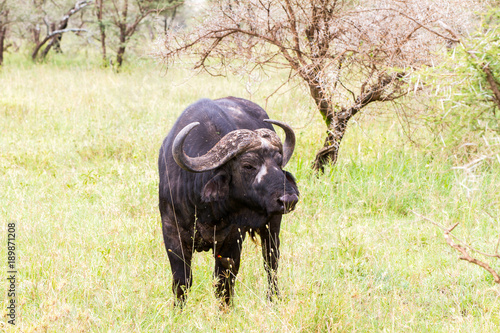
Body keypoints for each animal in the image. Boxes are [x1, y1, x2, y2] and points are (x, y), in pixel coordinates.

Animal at [158, 95, 298, 304]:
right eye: (248, 165)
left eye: (279, 162)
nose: (289, 198)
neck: (204, 208)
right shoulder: (171, 232)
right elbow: (181, 281)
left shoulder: (233, 237)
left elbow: (224, 283)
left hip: (272, 224)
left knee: (271, 261)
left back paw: (273, 297)